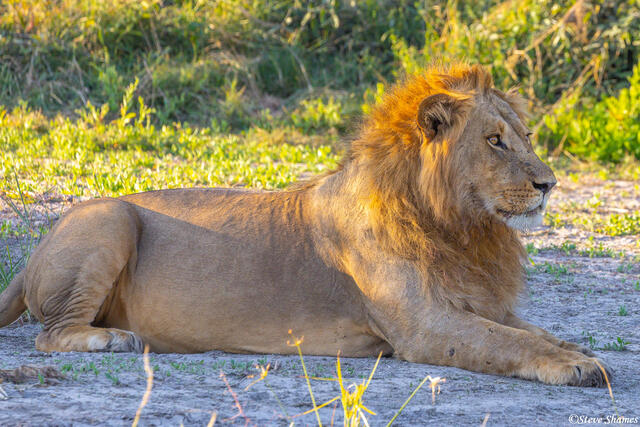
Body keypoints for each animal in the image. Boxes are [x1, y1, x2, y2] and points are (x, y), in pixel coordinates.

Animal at [0, 63, 610, 386]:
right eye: (494, 141)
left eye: (525, 137)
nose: (549, 184)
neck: (463, 228)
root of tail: (34, 254)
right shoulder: (423, 326)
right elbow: (507, 342)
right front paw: (577, 367)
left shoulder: (479, 302)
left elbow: (532, 332)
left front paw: (579, 351)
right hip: (108, 217)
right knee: (49, 335)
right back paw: (112, 340)